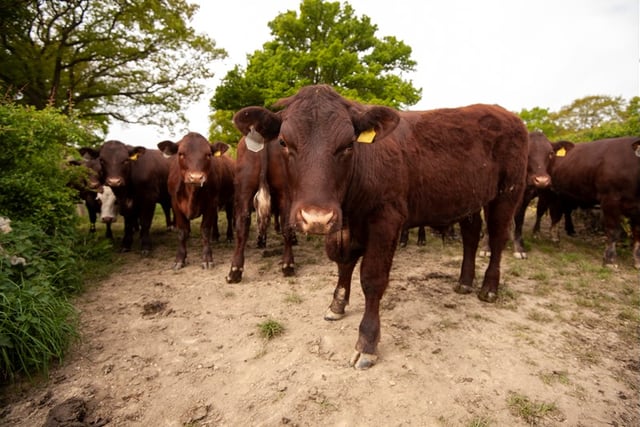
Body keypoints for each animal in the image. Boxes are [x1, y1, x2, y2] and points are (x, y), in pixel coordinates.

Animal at [157, 133, 235, 270]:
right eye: (181, 154)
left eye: (208, 154)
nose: (196, 177)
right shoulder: (175, 204)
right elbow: (182, 232)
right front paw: (180, 259)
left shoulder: (211, 203)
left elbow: (205, 230)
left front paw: (207, 259)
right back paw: (215, 236)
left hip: (229, 199)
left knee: (229, 217)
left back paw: (229, 237)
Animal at [543, 137, 640, 268]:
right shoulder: (610, 200)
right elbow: (613, 231)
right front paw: (609, 261)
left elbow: (638, 234)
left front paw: (637, 261)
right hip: (552, 191)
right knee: (555, 212)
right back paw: (554, 236)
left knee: (563, 211)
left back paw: (567, 231)